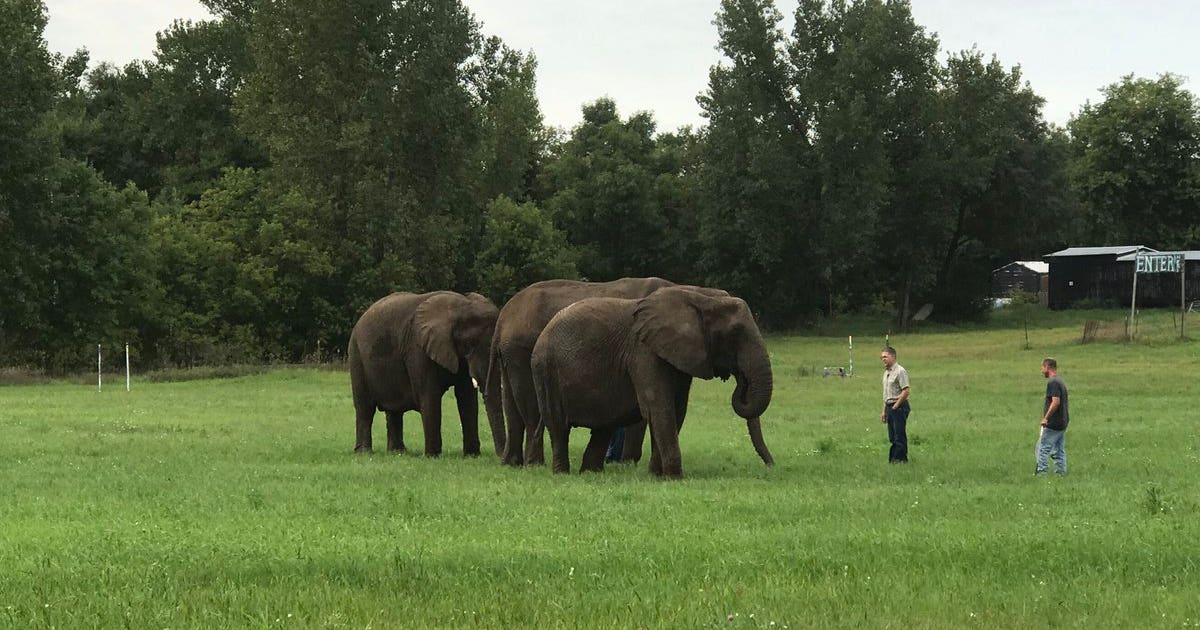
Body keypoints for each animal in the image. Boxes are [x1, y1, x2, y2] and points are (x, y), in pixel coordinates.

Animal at [348, 291, 503, 457]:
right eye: (470, 344)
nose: (500, 456)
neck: (459, 306)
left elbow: (466, 397)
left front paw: (471, 456)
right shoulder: (417, 348)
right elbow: (429, 394)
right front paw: (432, 456)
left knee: (394, 410)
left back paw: (398, 453)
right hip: (357, 355)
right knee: (365, 408)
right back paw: (365, 453)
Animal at [486, 277, 727, 466]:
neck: (690, 289)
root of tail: (503, 317)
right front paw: (628, 462)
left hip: (511, 353)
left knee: (512, 406)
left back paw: (511, 463)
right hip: (522, 350)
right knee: (531, 409)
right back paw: (534, 464)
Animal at [530, 287, 774, 477]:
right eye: (735, 333)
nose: (771, 466)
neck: (699, 296)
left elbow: (676, 409)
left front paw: (657, 475)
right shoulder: (643, 351)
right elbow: (658, 405)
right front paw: (675, 477)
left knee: (603, 427)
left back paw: (590, 474)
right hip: (546, 370)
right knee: (559, 427)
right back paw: (562, 473)